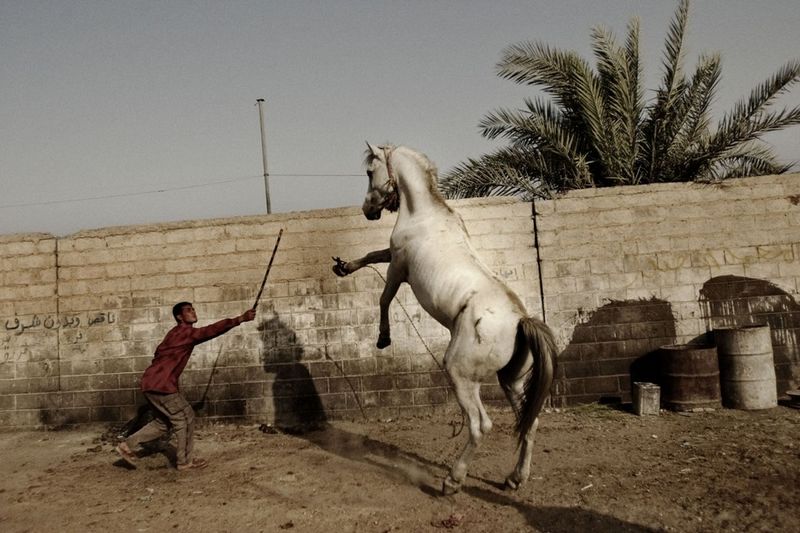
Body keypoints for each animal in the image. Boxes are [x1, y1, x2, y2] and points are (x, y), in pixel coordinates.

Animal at [332, 142, 556, 494]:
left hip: (461, 374)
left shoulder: (399, 268)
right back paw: (514, 479)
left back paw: (453, 479)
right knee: (528, 422)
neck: (425, 213)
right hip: (511, 379)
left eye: (370, 171)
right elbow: (372, 255)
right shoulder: (393, 257)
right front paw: (344, 268)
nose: (368, 210)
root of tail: (521, 321)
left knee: (480, 425)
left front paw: (383, 338)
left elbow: (384, 298)